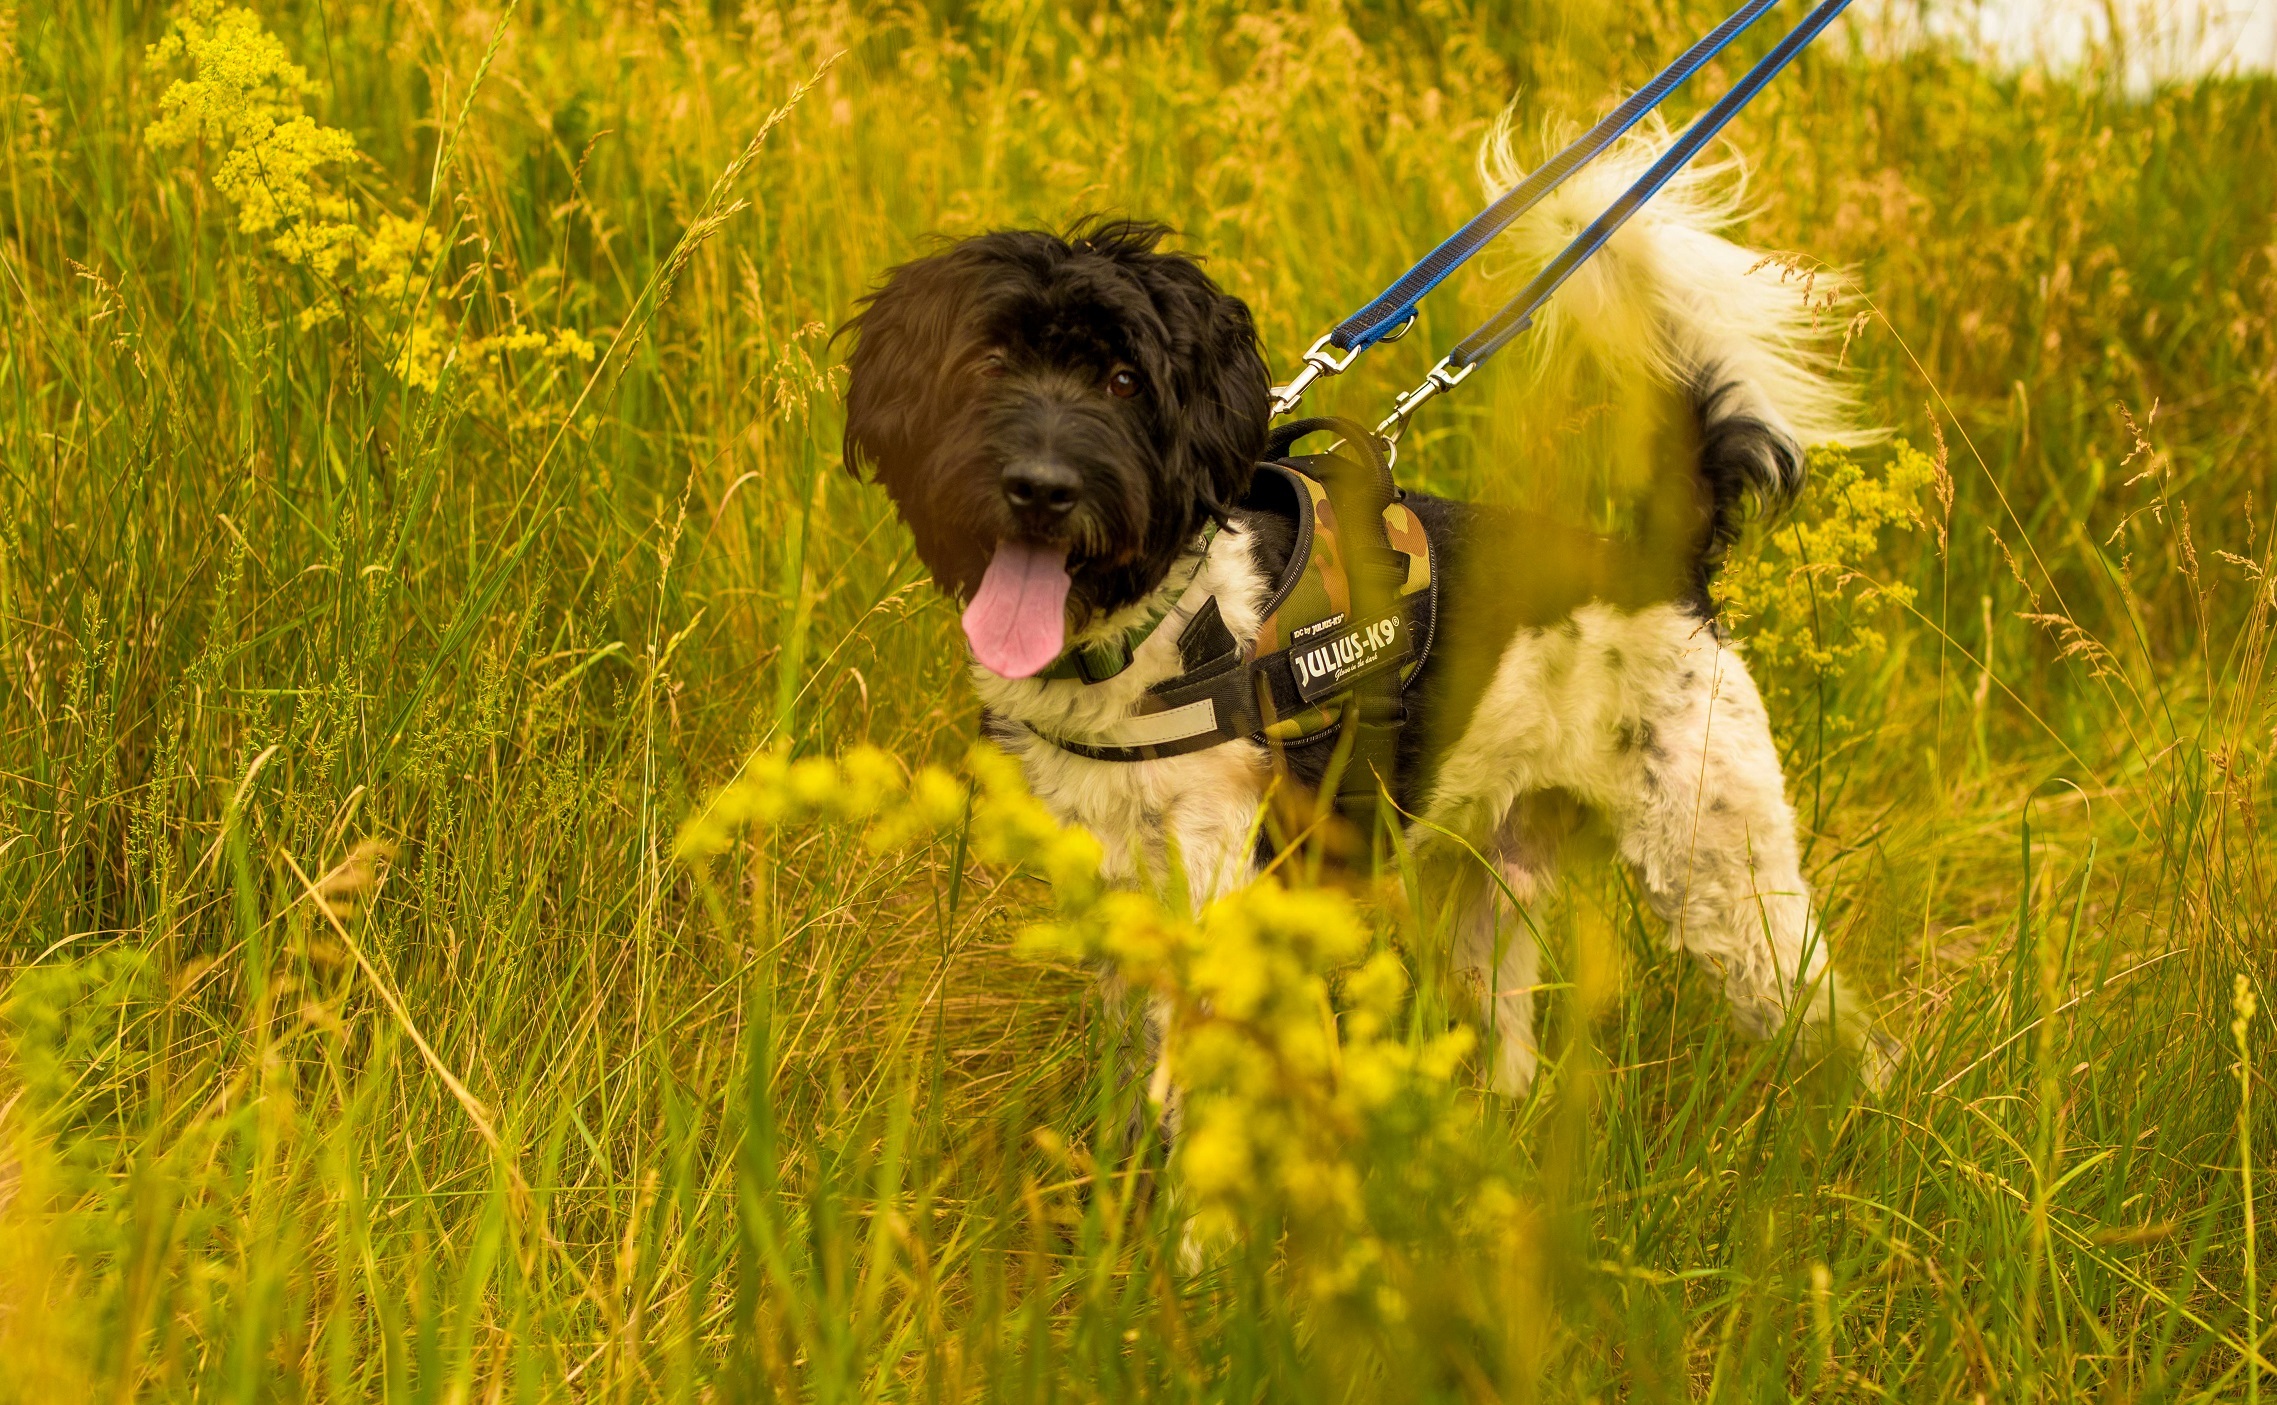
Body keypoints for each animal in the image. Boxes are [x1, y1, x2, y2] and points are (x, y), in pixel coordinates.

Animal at [837, 131, 1885, 1088]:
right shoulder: (1113, 904)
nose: (1040, 488)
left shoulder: (1217, 901)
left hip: (1726, 887)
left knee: (1853, 1040)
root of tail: (1665, 566)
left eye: (1127, 381)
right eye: (987, 360)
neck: (1156, 632)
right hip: (1486, 897)